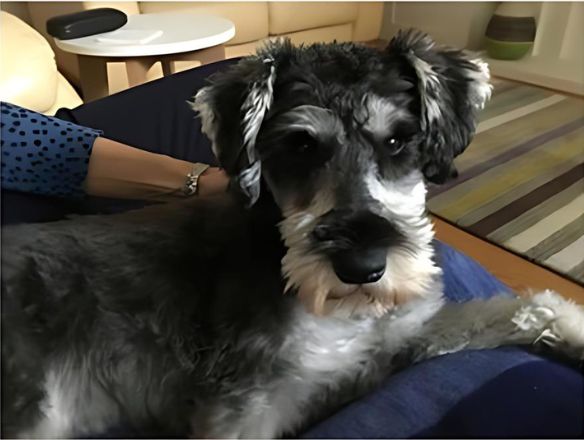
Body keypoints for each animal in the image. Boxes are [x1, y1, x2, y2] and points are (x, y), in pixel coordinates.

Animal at [3, 30, 584, 436]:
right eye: (301, 145)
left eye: (398, 140)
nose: (362, 268)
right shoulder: (245, 405)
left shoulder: (405, 332)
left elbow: (508, 311)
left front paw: (572, 328)